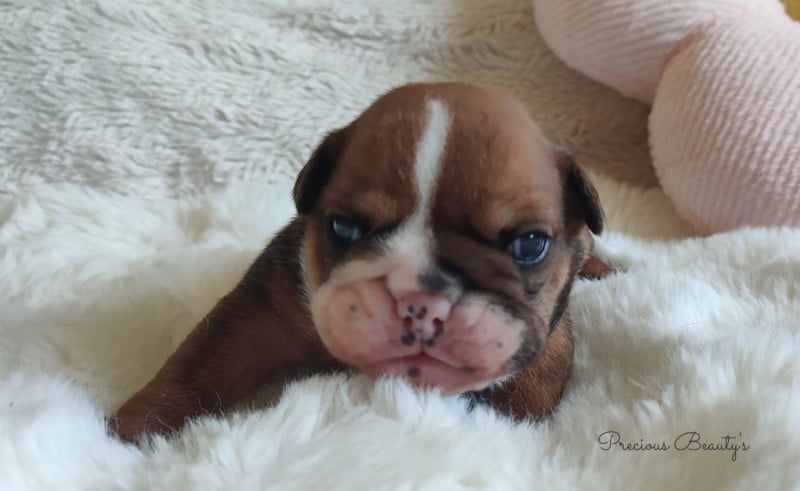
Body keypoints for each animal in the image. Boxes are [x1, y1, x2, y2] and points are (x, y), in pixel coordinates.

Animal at [110, 82, 608, 442]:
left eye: (529, 244)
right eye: (344, 228)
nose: (419, 296)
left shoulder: (541, 339)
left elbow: (529, 384)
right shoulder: (260, 310)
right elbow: (194, 367)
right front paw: (128, 436)